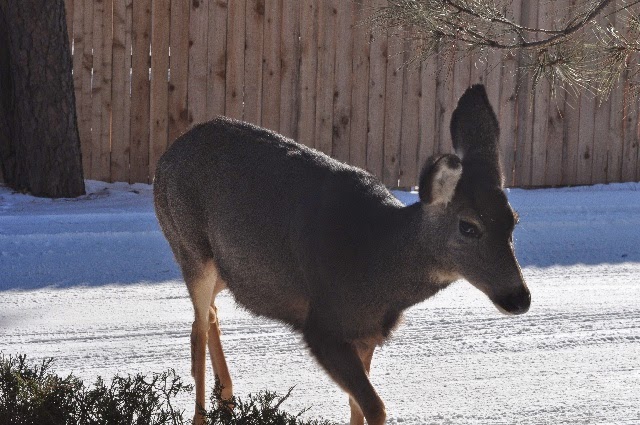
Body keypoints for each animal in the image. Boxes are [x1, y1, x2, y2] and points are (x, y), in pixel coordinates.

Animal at [154, 84, 528, 422]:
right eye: (468, 227)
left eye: (514, 221)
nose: (519, 297)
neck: (377, 264)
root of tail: (168, 155)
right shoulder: (324, 327)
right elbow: (374, 407)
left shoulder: (366, 335)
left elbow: (357, 406)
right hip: (188, 245)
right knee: (199, 327)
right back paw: (204, 413)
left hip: (226, 269)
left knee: (208, 315)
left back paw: (228, 399)